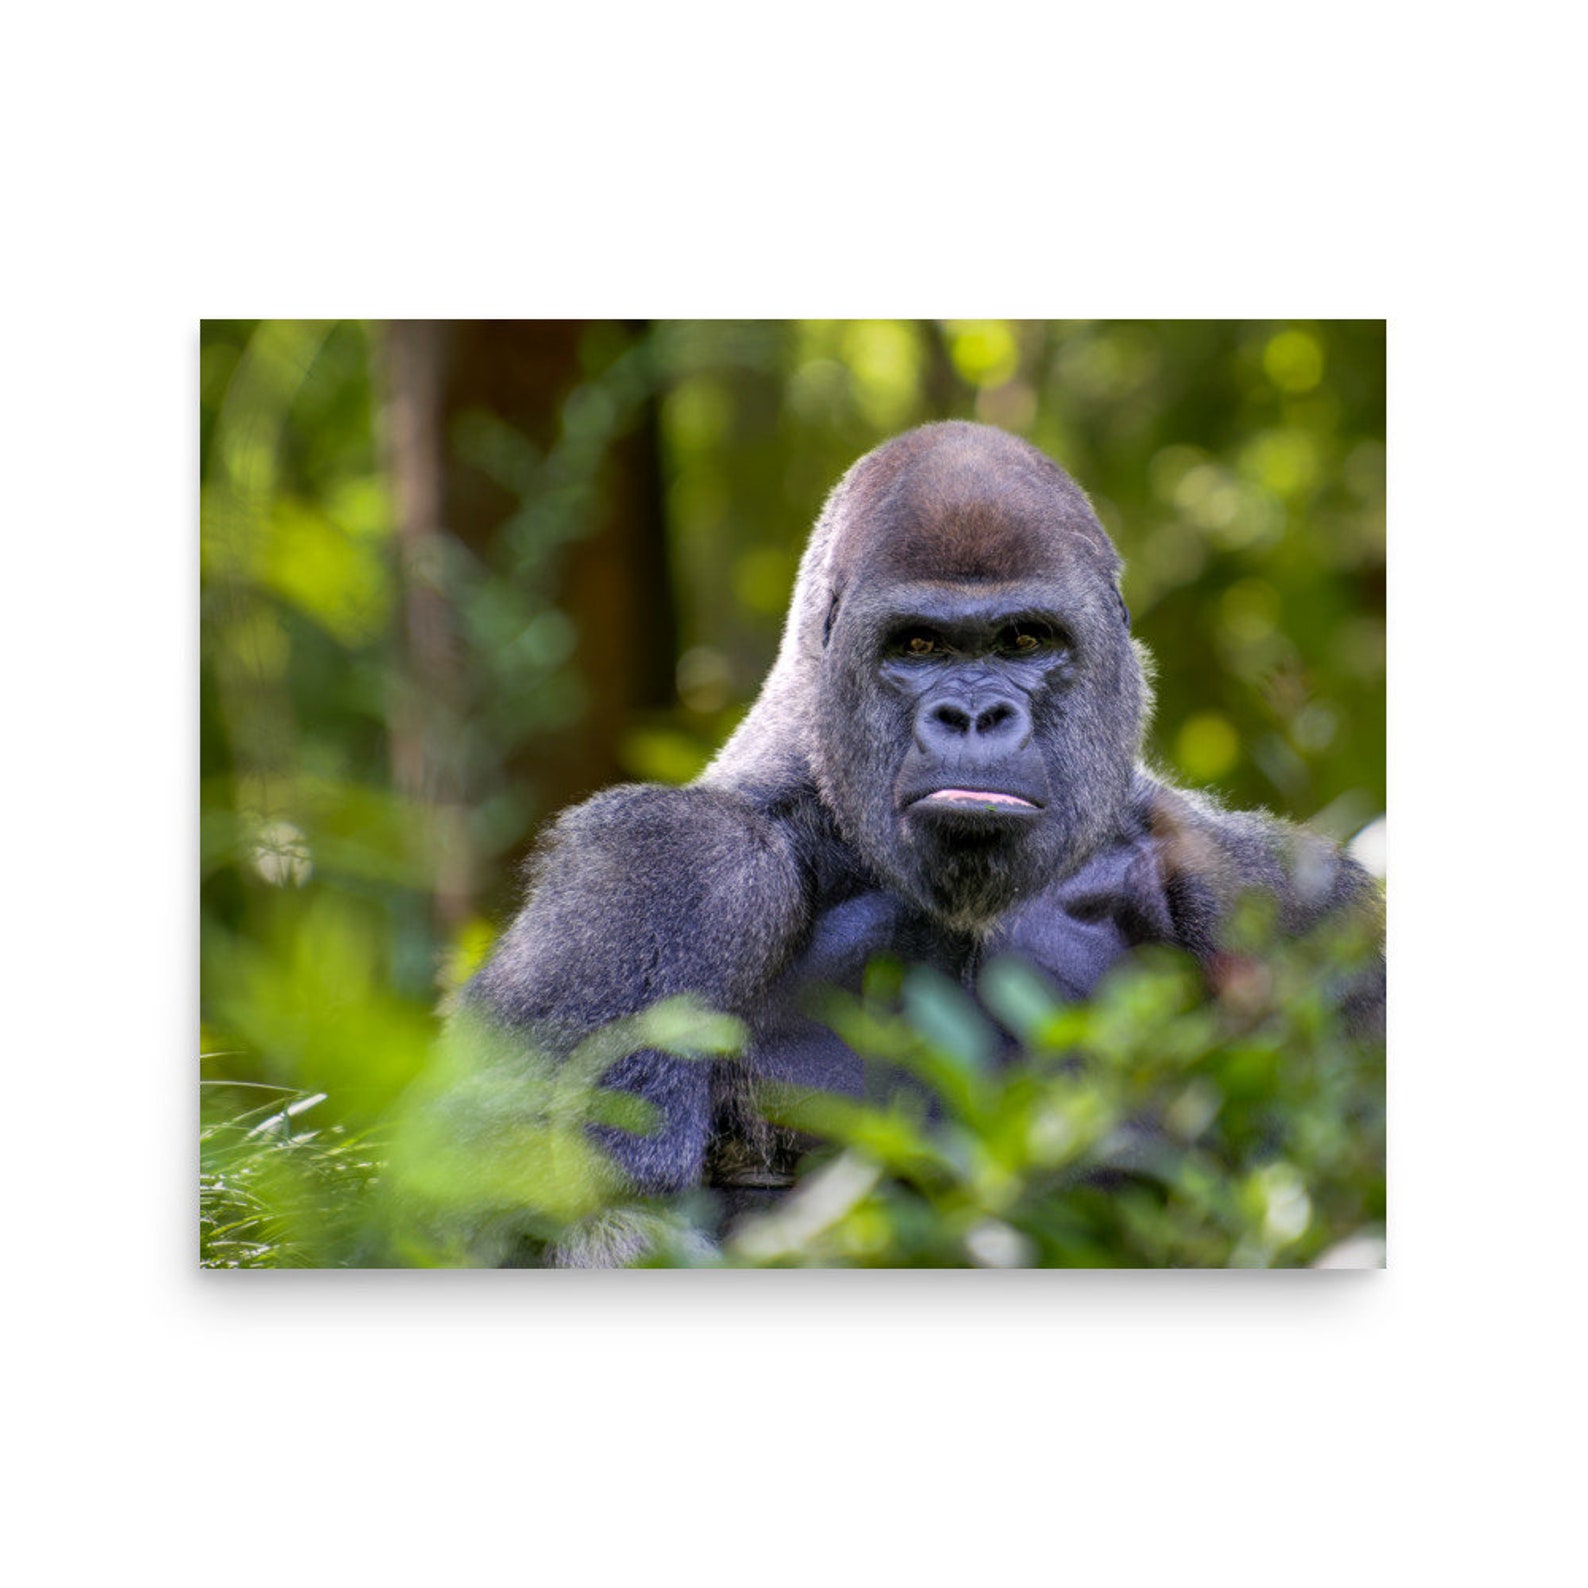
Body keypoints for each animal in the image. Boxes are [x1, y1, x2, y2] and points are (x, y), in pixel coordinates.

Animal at [459, 421, 1384, 1258]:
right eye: (919, 644)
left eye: (1025, 638)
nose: (973, 714)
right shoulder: (667, 871)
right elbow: (544, 1215)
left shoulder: (1287, 904)